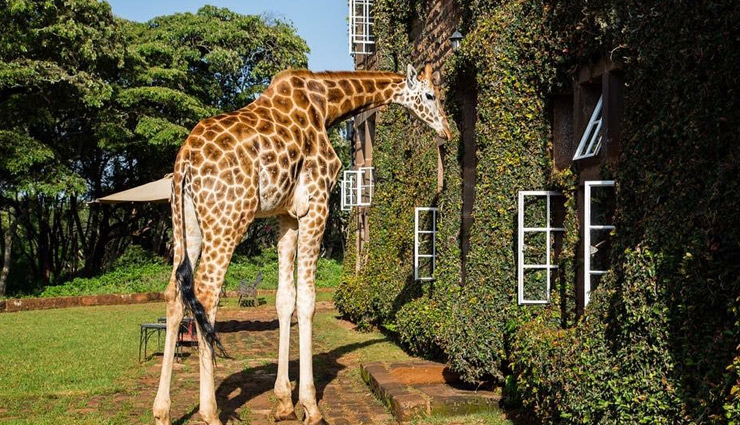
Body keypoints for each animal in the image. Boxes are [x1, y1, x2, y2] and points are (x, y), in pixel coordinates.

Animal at [152, 63, 452, 425]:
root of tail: (185, 160)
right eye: (430, 95)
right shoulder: (316, 205)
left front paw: (284, 403)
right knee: (207, 294)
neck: (327, 106)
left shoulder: (286, 216)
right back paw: (209, 412)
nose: (448, 131)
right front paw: (310, 405)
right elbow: (307, 300)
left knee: (174, 294)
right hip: (228, 219)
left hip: (186, 225)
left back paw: (161, 411)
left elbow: (285, 299)